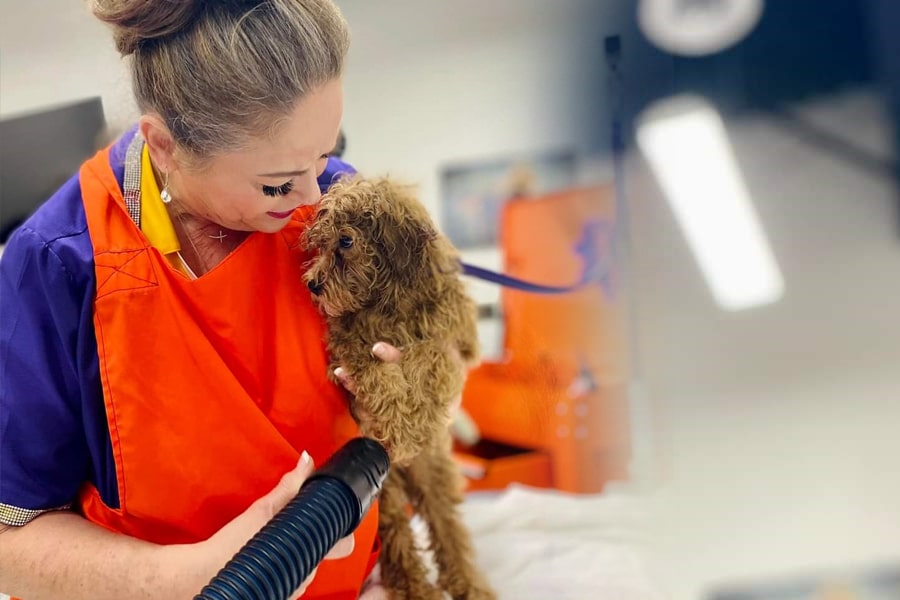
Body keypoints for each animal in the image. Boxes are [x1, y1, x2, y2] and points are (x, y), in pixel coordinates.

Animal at [306, 177, 496, 600]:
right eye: (319, 243)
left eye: (345, 241)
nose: (311, 284)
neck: (391, 303)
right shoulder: (348, 350)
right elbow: (380, 376)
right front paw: (400, 428)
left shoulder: (455, 340)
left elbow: (428, 356)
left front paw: (415, 423)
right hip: (384, 493)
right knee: (398, 538)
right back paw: (417, 589)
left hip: (434, 479)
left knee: (448, 530)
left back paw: (470, 586)